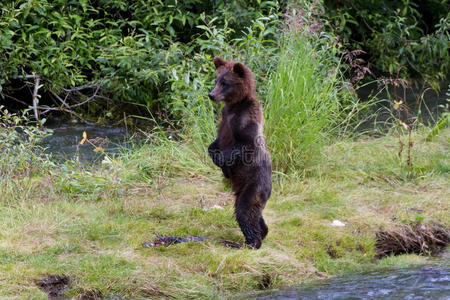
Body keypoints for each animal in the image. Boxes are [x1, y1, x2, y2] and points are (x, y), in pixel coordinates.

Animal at [207, 56, 270, 248]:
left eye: (225, 83)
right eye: (217, 80)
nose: (211, 94)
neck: (234, 105)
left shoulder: (245, 121)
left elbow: (242, 144)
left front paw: (224, 165)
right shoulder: (224, 119)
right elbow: (214, 144)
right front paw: (214, 155)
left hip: (254, 186)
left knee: (244, 210)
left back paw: (249, 243)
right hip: (244, 190)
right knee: (252, 213)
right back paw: (262, 231)